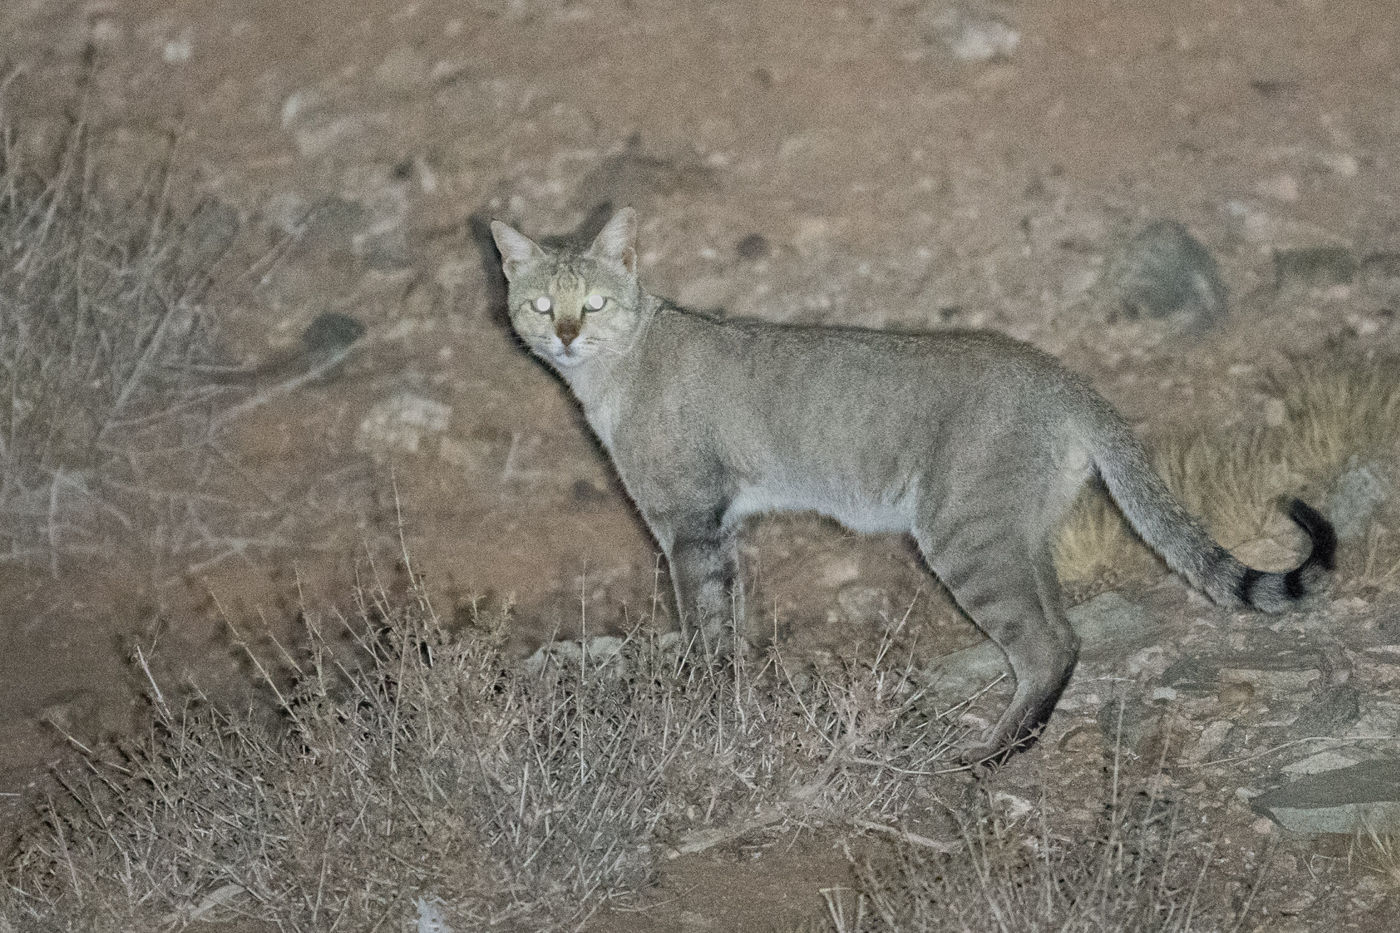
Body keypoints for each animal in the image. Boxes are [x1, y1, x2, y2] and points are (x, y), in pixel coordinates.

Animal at [490, 205, 1332, 762]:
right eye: (541, 303)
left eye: (594, 301)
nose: (565, 333)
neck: (620, 364)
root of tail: (1061, 378)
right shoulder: (719, 526)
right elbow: (727, 624)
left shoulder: (689, 522)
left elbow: (705, 626)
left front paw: (699, 701)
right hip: (1017, 533)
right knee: (1064, 633)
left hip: (964, 537)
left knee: (1045, 643)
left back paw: (991, 753)